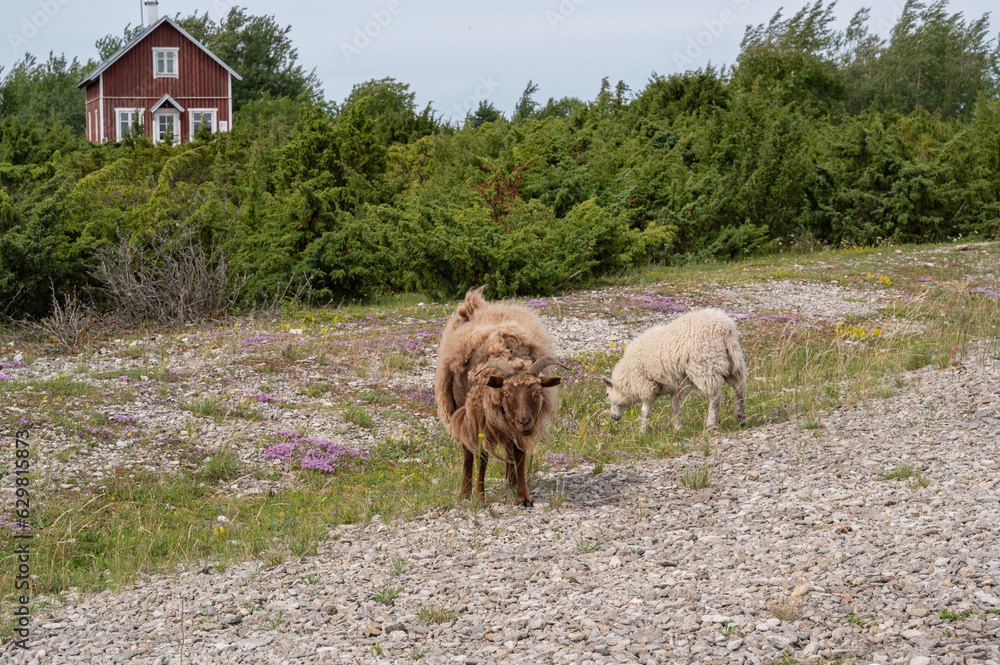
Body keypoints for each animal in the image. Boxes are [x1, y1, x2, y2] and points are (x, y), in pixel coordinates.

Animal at [435, 287, 561, 507]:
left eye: (537, 391)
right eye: (506, 392)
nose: (525, 422)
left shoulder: (517, 424)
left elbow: (519, 453)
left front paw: (523, 497)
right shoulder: (479, 421)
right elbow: (482, 457)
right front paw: (479, 497)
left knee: (509, 448)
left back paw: (510, 483)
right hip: (462, 413)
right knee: (468, 453)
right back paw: (465, 492)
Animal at [603, 308, 746, 431]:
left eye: (607, 394)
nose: (614, 418)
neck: (628, 377)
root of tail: (725, 329)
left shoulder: (647, 386)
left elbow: (645, 412)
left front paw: (642, 431)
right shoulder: (675, 387)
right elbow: (675, 407)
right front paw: (678, 428)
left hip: (705, 366)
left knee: (716, 397)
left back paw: (711, 425)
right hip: (731, 363)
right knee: (740, 388)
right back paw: (741, 418)